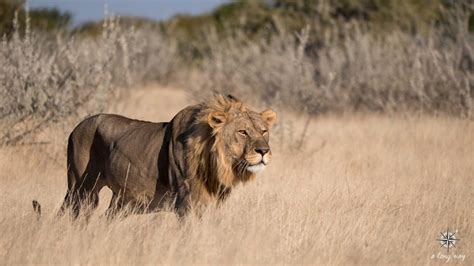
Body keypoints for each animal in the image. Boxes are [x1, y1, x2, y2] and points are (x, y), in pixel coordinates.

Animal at [33, 94, 276, 219]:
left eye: (263, 131)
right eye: (242, 132)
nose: (263, 151)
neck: (219, 164)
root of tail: (76, 127)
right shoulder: (186, 202)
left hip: (119, 200)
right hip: (80, 188)